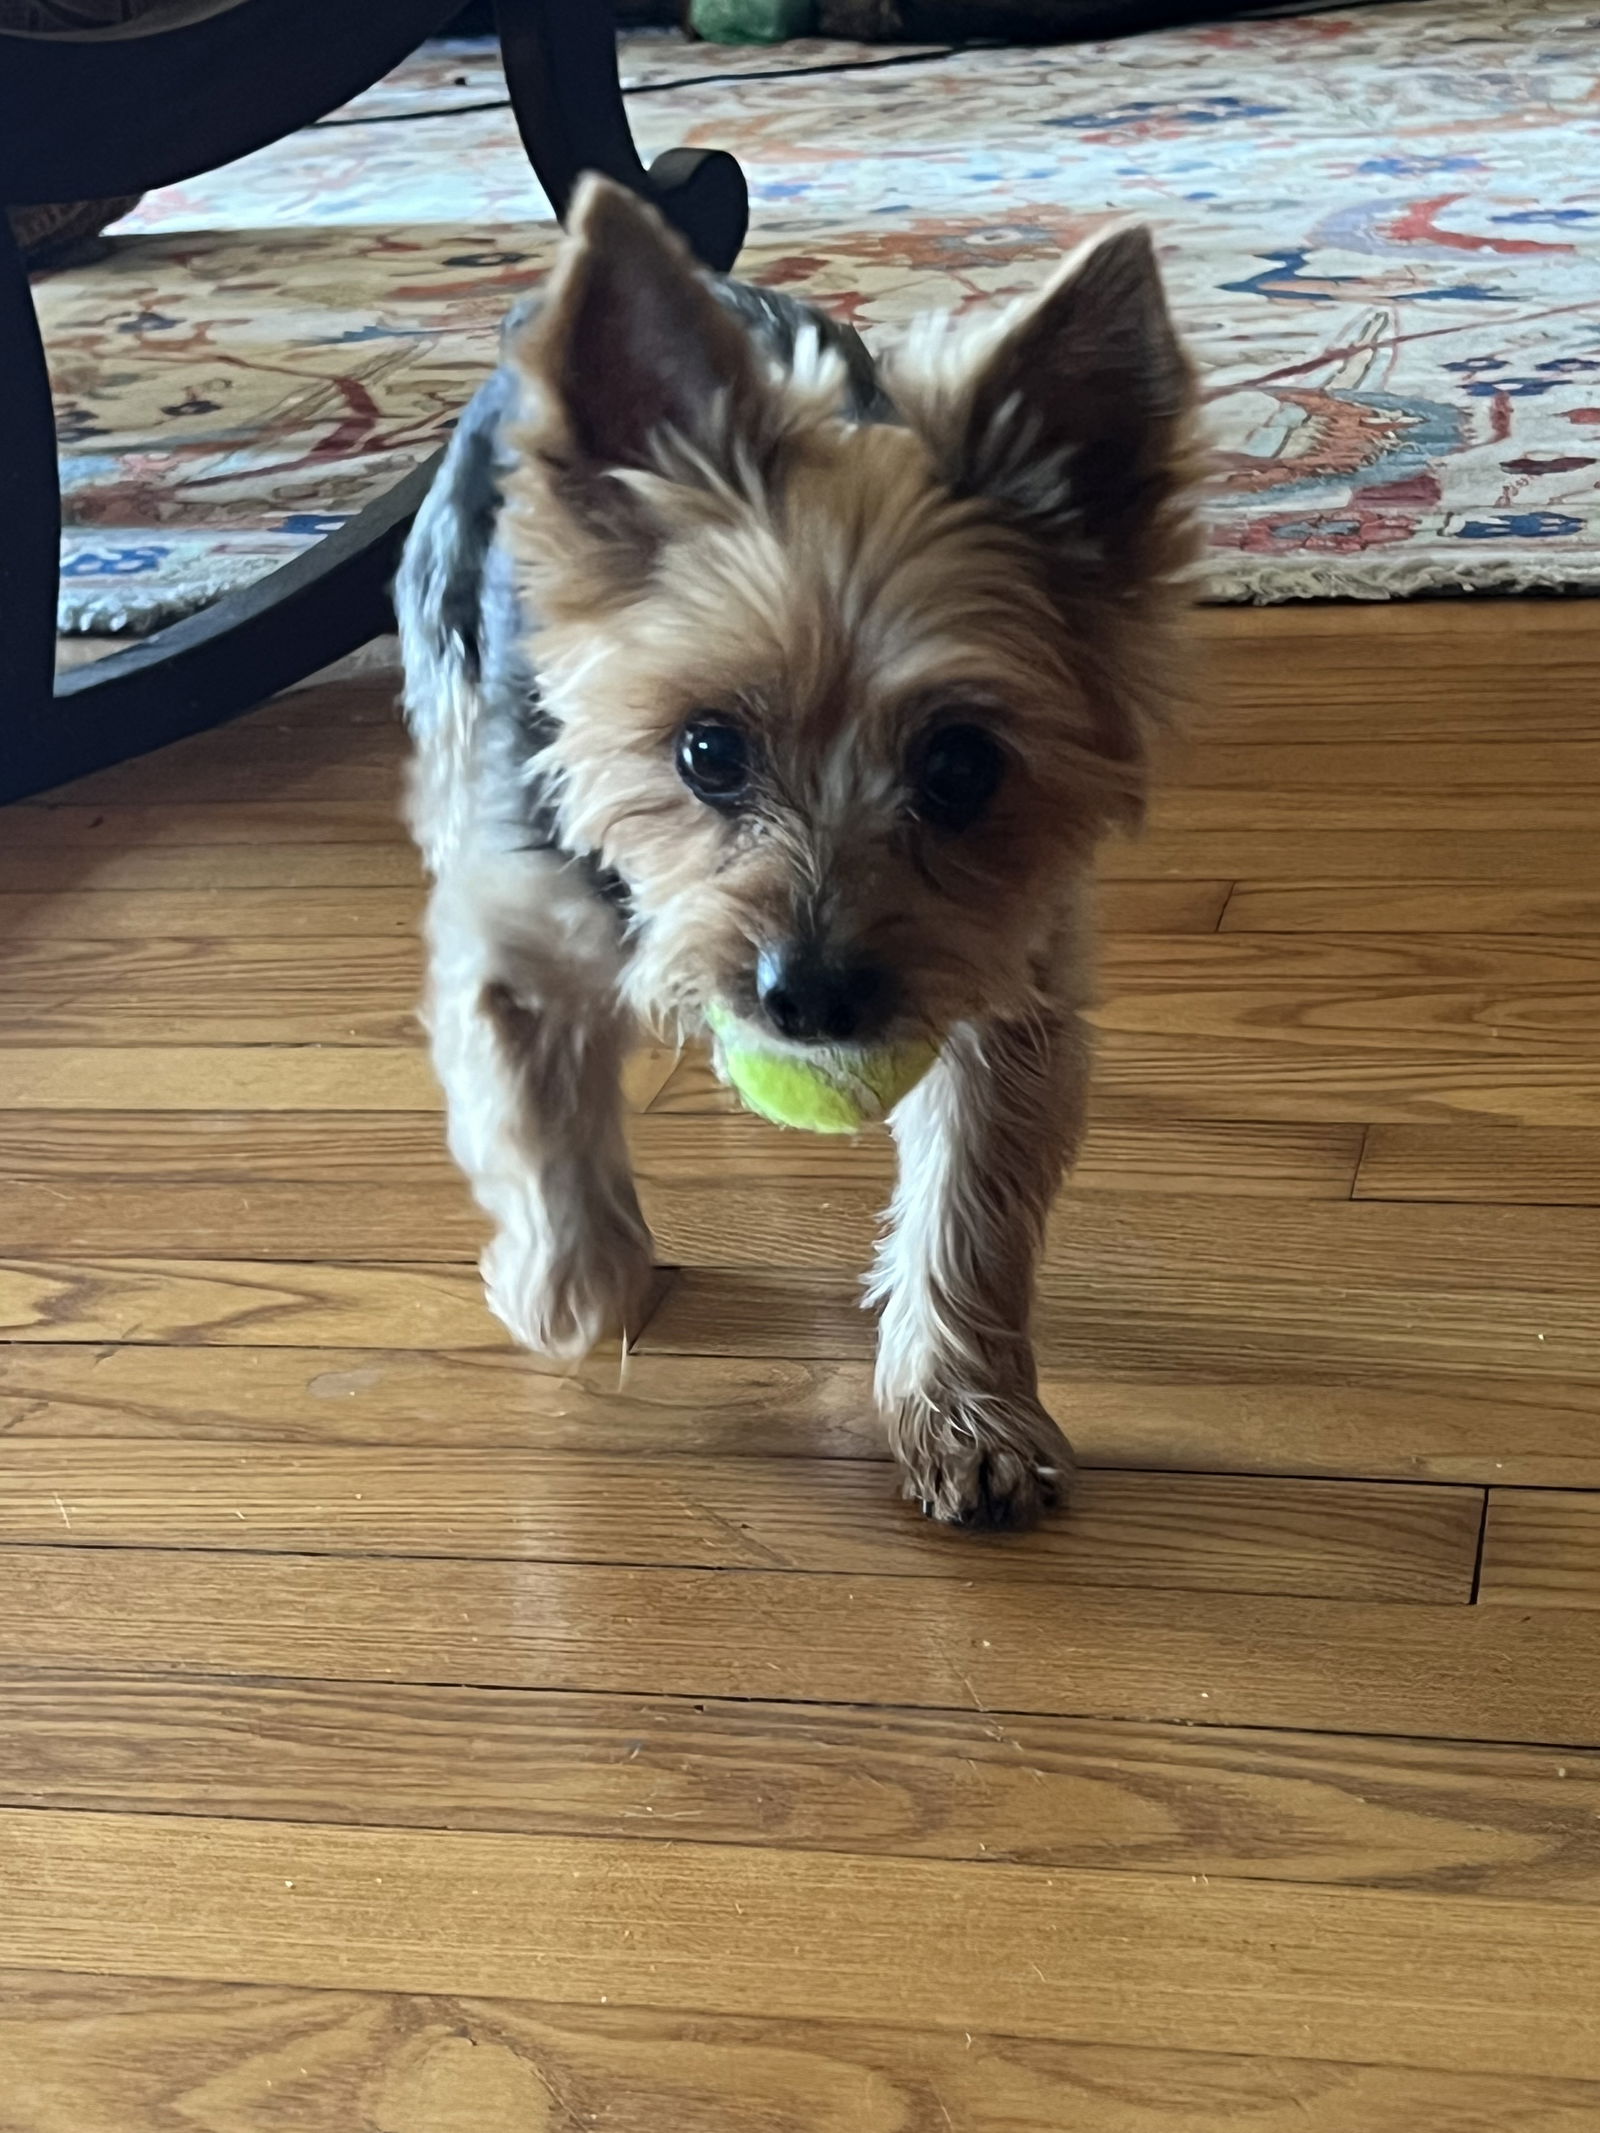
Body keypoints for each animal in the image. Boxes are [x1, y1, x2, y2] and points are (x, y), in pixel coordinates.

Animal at [401, 170, 1203, 1535]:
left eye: (962, 767)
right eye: (705, 749)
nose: (811, 997)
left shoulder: (1004, 973)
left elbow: (971, 1200)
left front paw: (962, 1416)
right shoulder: (517, 924)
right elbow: (535, 1110)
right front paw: (574, 1286)